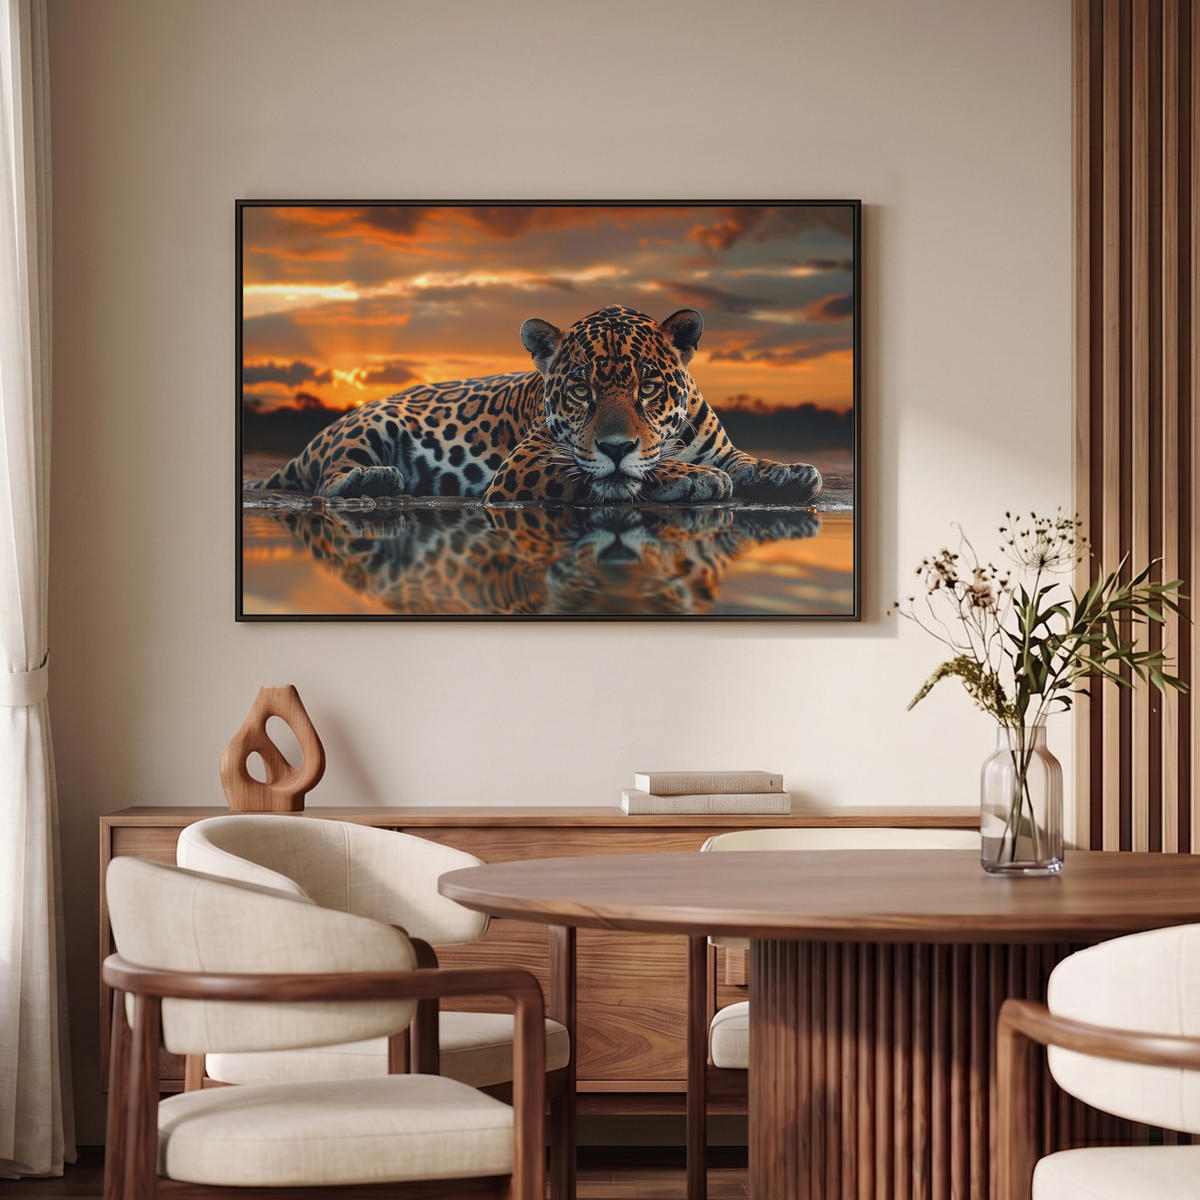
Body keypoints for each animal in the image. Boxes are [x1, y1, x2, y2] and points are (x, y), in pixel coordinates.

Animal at [246, 305, 822, 506]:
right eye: (581, 390)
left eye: (648, 387)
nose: (616, 445)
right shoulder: (525, 464)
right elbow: (619, 473)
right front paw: (691, 477)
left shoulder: (721, 448)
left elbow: (747, 461)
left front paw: (790, 472)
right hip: (369, 426)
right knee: (327, 480)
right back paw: (377, 479)